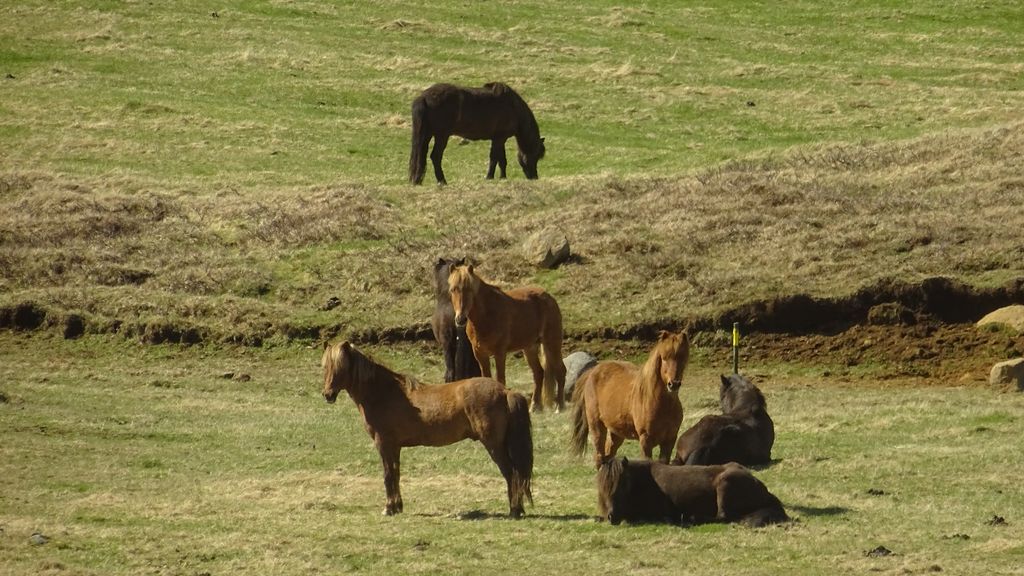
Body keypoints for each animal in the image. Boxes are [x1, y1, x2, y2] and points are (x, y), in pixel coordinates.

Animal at [319, 340, 532, 516]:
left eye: (340, 366)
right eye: (325, 367)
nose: (328, 395)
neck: (384, 393)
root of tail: (505, 391)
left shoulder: (384, 444)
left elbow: (388, 475)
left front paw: (388, 508)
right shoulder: (394, 447)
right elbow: (395, 474)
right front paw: (397, 507)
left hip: (494, 445)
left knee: (511, 473)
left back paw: (514, 510)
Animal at [407, 81, 544, 184]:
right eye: (535, 155)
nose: (534, 177)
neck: (513, 107)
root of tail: (424, 97)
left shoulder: (499, 138)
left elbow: (501, 160)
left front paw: (502, 177)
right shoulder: (499, 138)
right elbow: (495, 158)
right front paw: (490, 177)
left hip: (427, 135)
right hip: (441, 136)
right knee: (435, 156)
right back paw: (442, 181)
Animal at [448, 264, 569, 412]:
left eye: (469, 289)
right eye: (453, 289)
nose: (460, 319)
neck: (487, 314)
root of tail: (549, 297)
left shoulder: (500, 353)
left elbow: (500, 379)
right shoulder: (480, 354)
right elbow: (486, 377)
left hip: (551, 343)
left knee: (560, 371)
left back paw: (559, 407)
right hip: (530, 347)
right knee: (539, 373)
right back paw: (535, 406)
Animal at [573, 327, 692, 467]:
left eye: (683, 357)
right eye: (664, 358)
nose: (674, 384)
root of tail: (592, 372)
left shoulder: (669, 441)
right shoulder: (645, 441)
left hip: (616, 432)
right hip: (597, 426)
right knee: (599, 457)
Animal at [598, 455, 786, 528]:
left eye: (623, 484)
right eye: (603, 488)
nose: (612, 516)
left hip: (725, 484)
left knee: (722, 517)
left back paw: (692, 518)